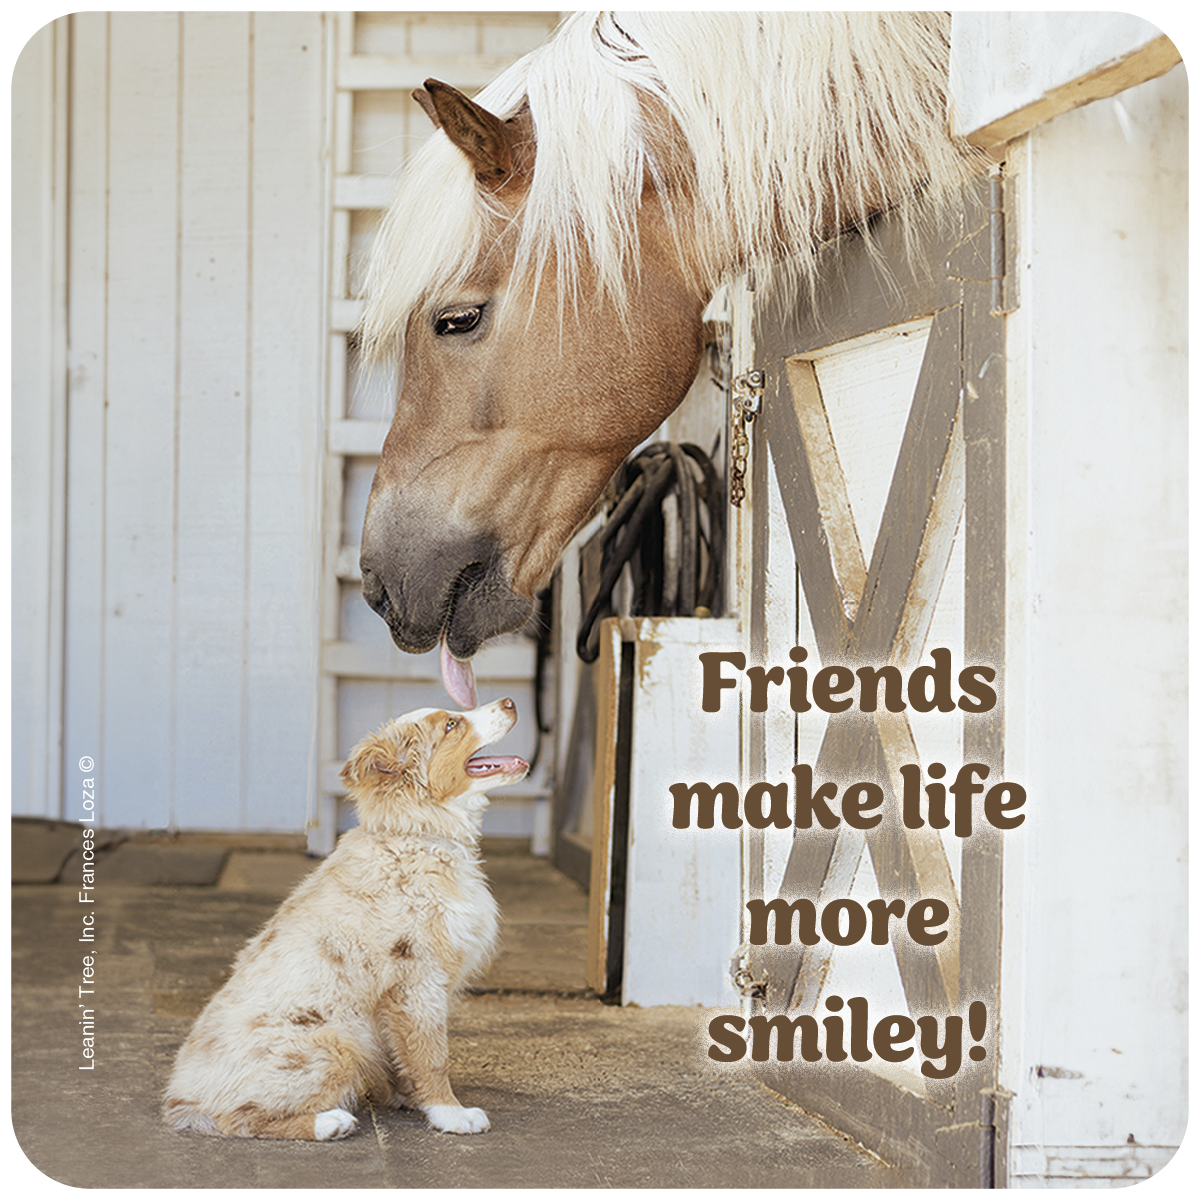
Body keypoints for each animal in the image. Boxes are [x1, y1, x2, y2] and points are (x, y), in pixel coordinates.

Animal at [162, 700, 528, 1137]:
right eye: (452, 724)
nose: (510, 702)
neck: (416, 835)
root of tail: (183, 1099)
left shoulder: (398, 999)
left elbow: (403, 1054)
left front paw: (410, 1097)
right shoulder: (416, 981)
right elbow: (432, 1055)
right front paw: (450, 1114)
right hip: (338, 1043)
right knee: (238, 1118)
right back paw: (329, 1122)